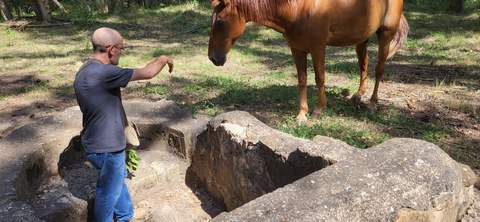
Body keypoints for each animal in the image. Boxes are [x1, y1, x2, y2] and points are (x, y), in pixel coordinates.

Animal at [207, 0, 408, 122]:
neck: (299, 9)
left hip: (386, 35)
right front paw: (302, 114)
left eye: (220, 22)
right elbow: (302, 80)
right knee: (363, 64)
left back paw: (373, 104)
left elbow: (319, 78)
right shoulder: (297, 49)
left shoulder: (318, 48)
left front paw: (319, 109)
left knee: (379, 69)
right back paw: (358, 95)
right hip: (362, 38)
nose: (213, 58)